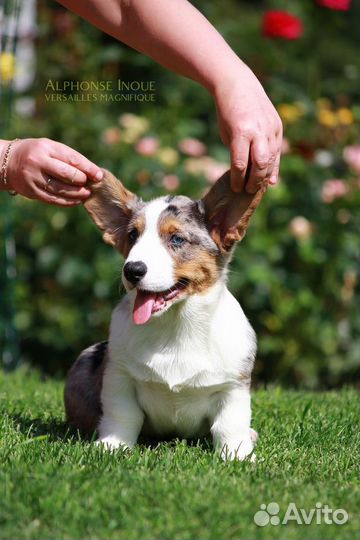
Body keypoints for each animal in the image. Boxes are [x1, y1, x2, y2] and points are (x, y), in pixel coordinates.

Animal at [65, 171, 268, 458]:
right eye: (132, 235)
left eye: (177, 239)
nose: (132, 270)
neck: (176, 324)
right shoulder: (119, 377)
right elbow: (122, 416)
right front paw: (112, 446)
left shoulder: (233, 387)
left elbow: (230, 426)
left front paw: (238, 456)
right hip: (87, 357)